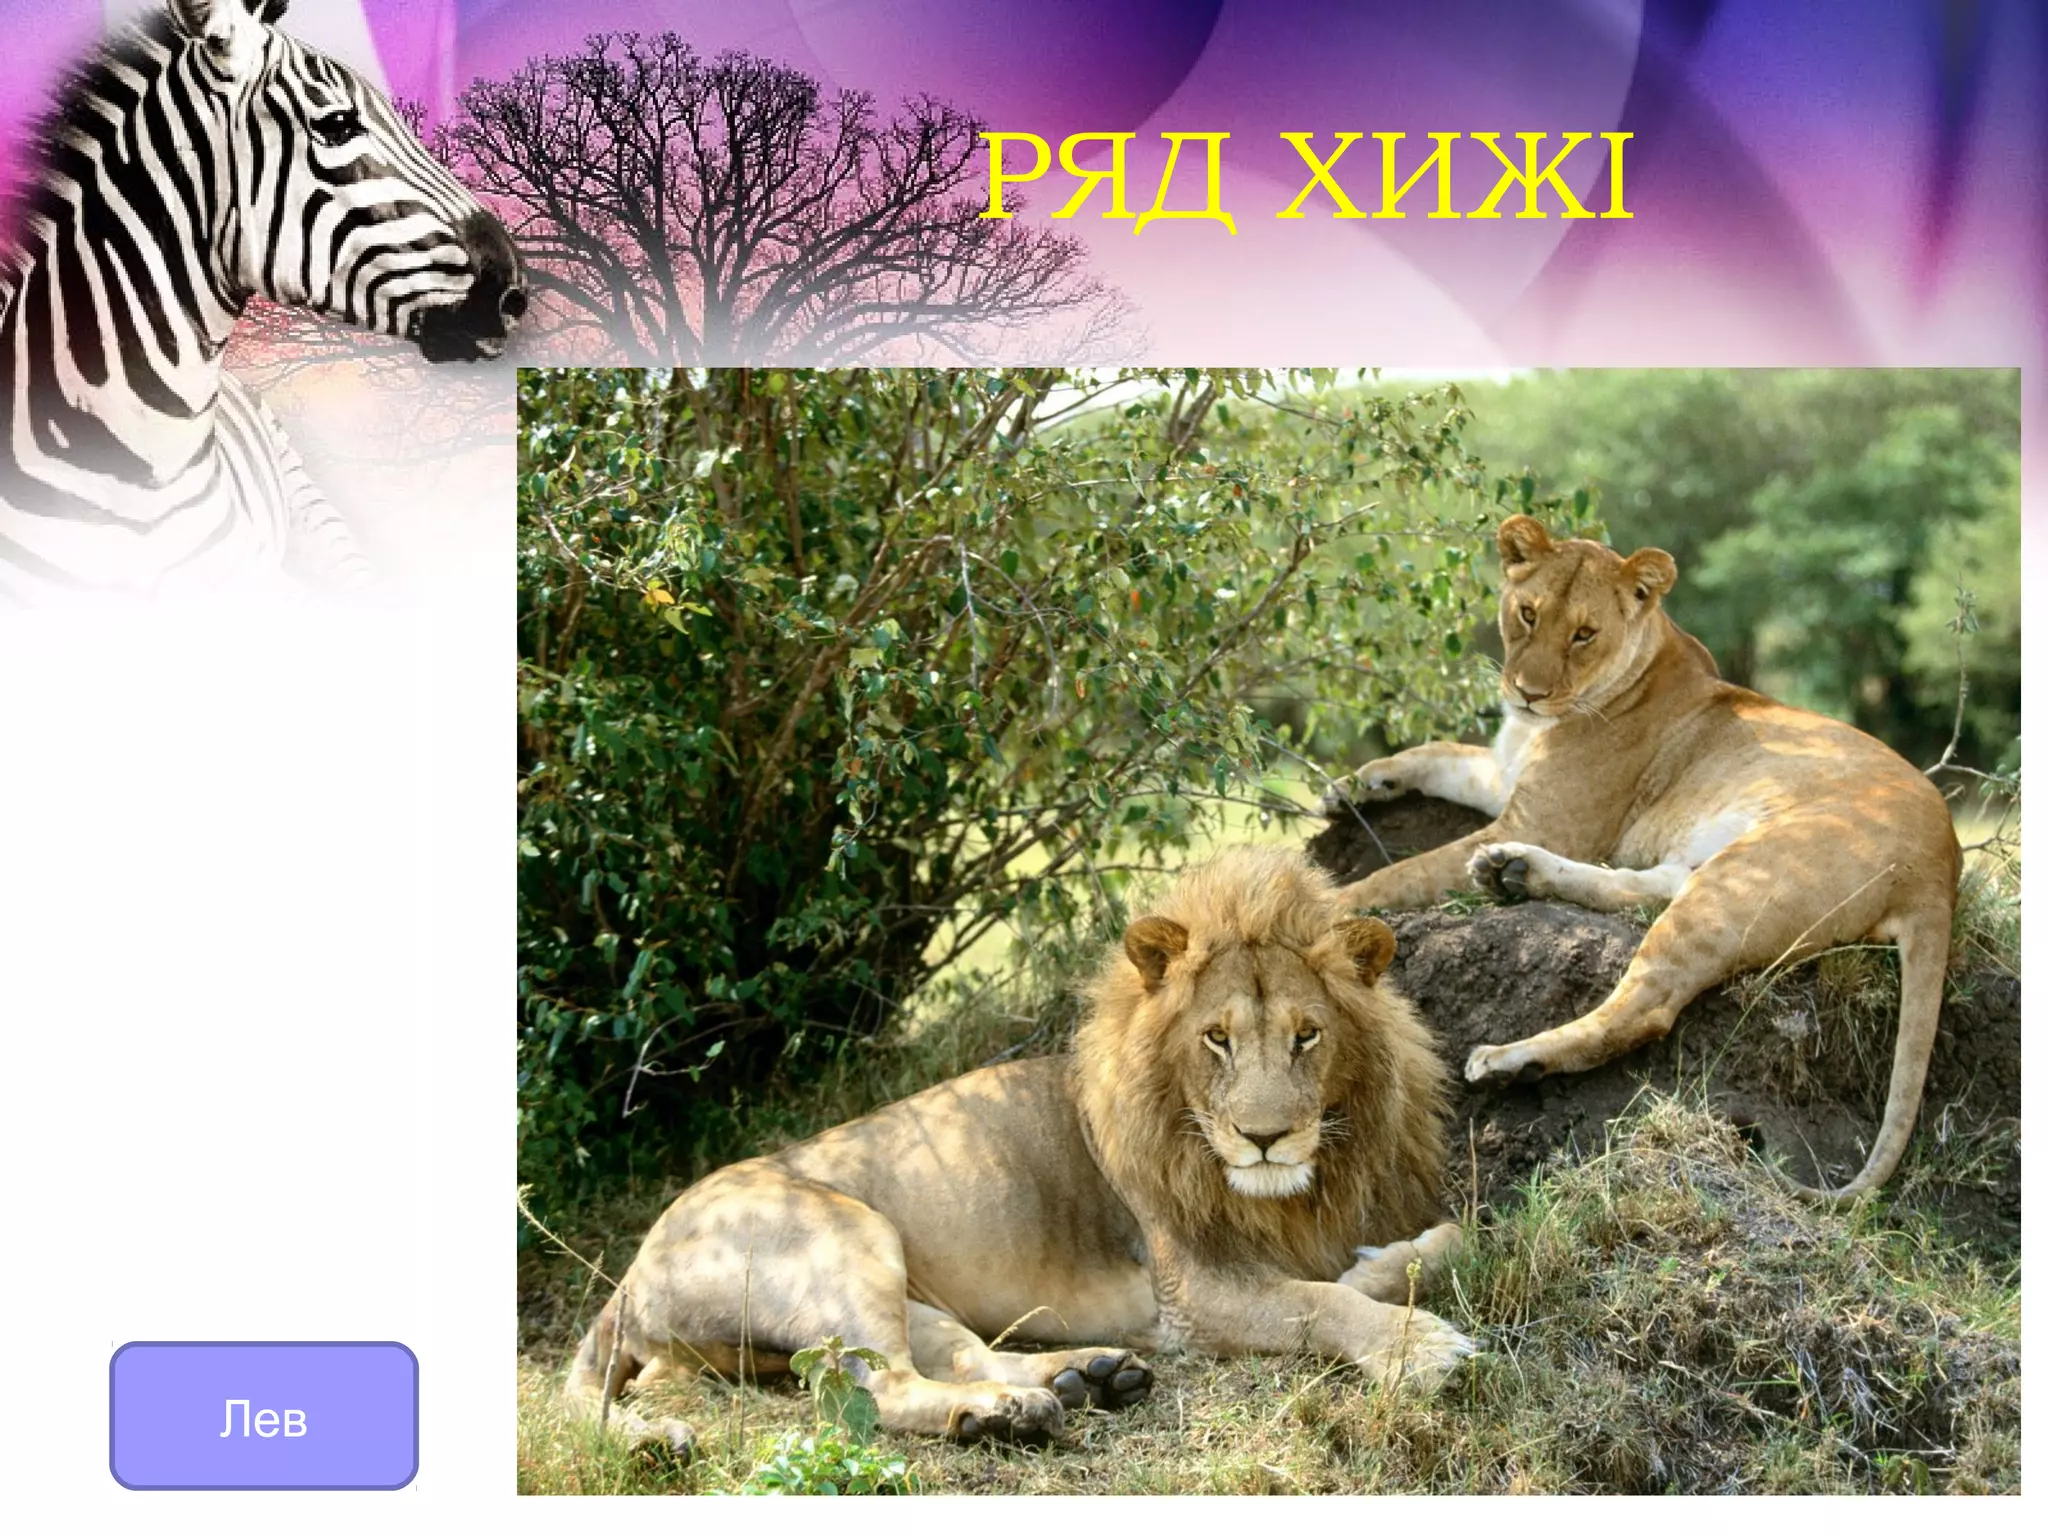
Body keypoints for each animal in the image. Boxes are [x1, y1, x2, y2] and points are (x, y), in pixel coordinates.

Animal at [564, 846, 1472, 1452]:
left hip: (902, 1288)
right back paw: (1010, 1415)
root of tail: (629, 1275)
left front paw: (1382, 1266)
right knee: (876, 1389)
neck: (1297, 1188)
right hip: (847, 1236)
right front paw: (1420, 1348)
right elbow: (1317, 1305)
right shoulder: (1192, 1292)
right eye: (1216, 1039)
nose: (1264, 1138)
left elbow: (1445, 1242)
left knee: (962, 1354)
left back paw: (1087, 1377)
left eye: (1307, 1035)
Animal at [1322, 514, 1960, 1202]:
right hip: (1711, 868)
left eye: (1584, 634)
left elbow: (1401, 873)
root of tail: (1943, 866)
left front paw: (1326, 900)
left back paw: (1509, 1058)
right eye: (1527, 613)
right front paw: (1354, 785)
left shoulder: (1548, 819)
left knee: (1647, 1005)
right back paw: (1512, 872)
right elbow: (1437, 754)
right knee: (1645, 887)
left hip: (1745, 878)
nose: (1527, 693)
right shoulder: (1510, 778)